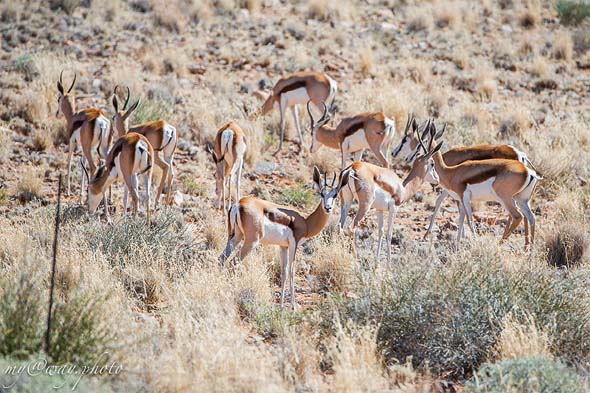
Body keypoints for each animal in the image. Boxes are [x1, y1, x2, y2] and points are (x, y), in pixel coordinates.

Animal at [56, 69, 111, 198]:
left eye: (58, 99)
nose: (56, 113)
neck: (73, 117)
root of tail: (100, 119)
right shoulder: (87, 147)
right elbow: (83, 164)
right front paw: (80, 193)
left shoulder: (72, 142)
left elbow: (69, 161)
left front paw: (68, 192)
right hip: (102, 147)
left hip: (87, 147)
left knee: (93, 166)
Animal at [221, 165, 352, 306]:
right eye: (322, 193)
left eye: (335, 194)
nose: (328, 208)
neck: (306, 221)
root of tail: (238, 204)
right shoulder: (294, 244)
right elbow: (291, 271)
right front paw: (293, 305)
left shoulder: (283, 246)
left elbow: (283, 272)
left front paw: (282, 305)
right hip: (251, 242)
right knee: (233, 262)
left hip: (235, 237)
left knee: (221, 259)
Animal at [340, 122, 442, 264]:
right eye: (432, 164)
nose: (437, 179)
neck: (403, 188)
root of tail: (352, 168)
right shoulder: (394, 208)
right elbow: (389, 233)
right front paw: (388, 264)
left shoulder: (379, 210)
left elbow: (380, 232)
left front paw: (377, 263)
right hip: (365, 205)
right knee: (351, 227)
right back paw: (355, 258)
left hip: (347, 201)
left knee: (339, 226)